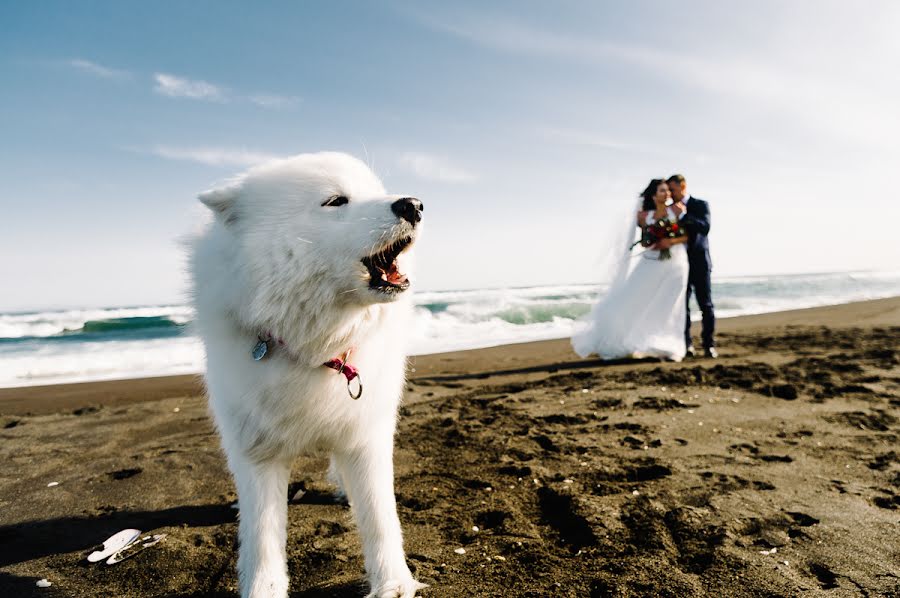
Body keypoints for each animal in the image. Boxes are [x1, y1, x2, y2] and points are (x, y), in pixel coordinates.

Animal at [189, 152, 426, 596]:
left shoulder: (366, 435)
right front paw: (263, 589)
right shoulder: (257, 452)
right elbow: (262, 534)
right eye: (335, 201)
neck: (318, 349)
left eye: (376, 190)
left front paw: (394, 582)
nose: (415, 205)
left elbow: (380, 518)